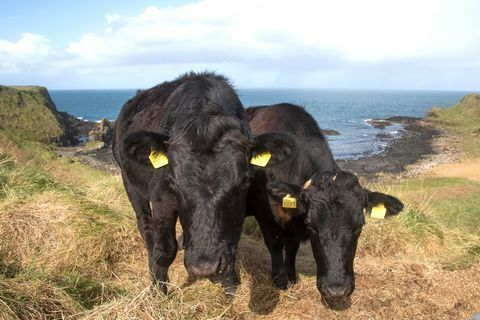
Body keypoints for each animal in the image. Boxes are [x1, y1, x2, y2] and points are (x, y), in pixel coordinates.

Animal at [113, 73, 292, 296]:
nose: (203, 267)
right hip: (131, 185)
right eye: (174, 181)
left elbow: (246, 240)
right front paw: (159, 288)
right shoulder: (162, 196)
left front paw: (232, 284)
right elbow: (166, 249)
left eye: (242, 182)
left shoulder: (252, 197)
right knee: (145, 226)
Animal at [246, 104, 404, 302]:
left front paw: (292, 278)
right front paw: (281, 281)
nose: (336, 290)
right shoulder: (265, 214)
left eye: (359, 226)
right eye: (311, 226)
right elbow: (274, 245)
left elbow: (292, 249)